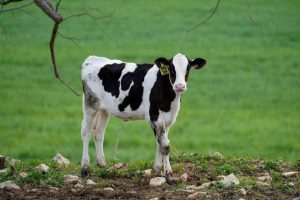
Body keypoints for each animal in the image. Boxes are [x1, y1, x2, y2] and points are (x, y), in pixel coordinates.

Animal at [79, 52, 206, 181]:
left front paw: (157, 170)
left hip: (104, 109)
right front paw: (169, 175)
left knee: (99, 131)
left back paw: (102, 163)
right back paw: (85, 168)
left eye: (188, 68)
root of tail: (92, 59)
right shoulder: (154, 116)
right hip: (90, 104)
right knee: (86, 132)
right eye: (171, 68)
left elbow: (159, 144)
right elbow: (165, 146)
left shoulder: (168, 120)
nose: (180, 86)